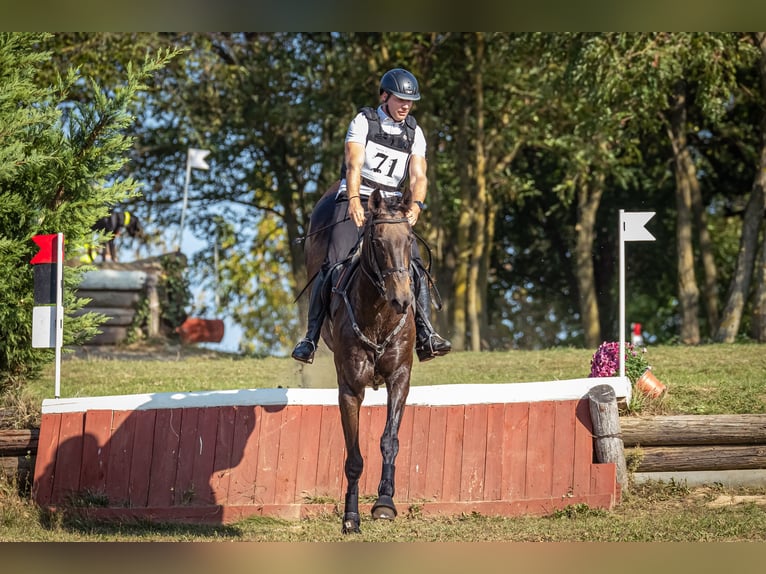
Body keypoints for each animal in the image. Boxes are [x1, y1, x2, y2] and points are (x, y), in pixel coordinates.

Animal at [304, 186, 416, 536]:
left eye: (409, 239)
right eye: (377, 241)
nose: (402, 299)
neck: (378, 312)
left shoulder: (400, 378)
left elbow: (390, 440)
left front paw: (385, 502)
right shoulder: (351, 388)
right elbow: (353, 457)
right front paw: (351, 516)